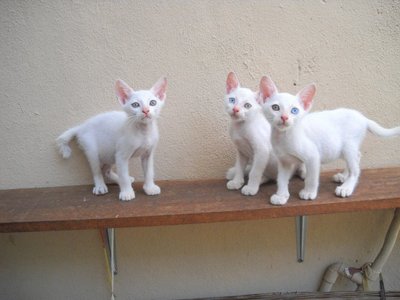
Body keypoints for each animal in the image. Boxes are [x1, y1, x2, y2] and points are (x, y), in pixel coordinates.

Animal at [258, 76, 398, 205]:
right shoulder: (284, 161)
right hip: (344, 149)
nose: (284, 117)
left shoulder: (313, 156)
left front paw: (309, 192)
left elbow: (311, 178)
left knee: (356, 169)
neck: (283, 137)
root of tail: (363, 118)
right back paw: (343, 176)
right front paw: (281, 195)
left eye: (294, 110)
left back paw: (346, 187)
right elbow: (281, 179)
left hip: (348, 146)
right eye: (275, 107)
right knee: (357, 156)